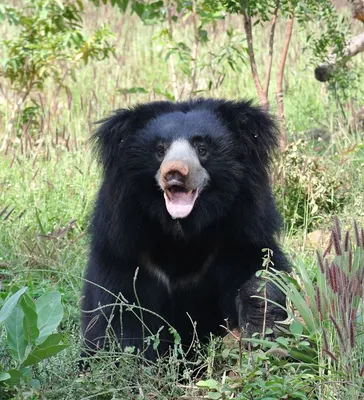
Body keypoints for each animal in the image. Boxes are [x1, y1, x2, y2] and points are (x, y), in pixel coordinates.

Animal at [81, 97, 288, 360]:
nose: (175, 172)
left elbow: (260, 267)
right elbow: (119, 311)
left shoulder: (239, 234)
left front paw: (261, 313)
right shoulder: (123, 249)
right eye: (160, 150)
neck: (181, 232)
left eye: (202, 148)